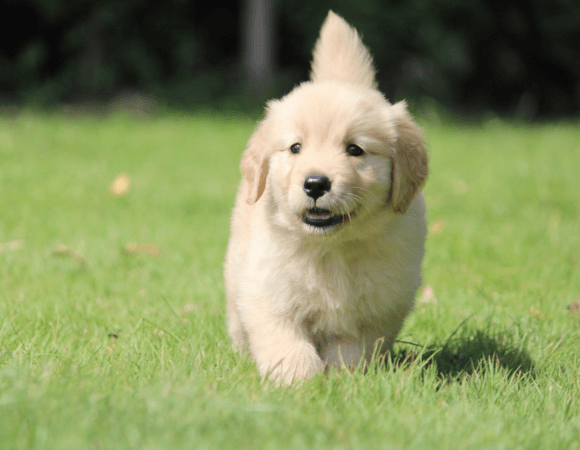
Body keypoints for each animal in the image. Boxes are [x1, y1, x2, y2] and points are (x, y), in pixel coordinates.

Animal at [224, 10, 428, 384]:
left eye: (354, 149)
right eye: (295, 148)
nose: (316, 183)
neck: (329, 248)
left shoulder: (375, 310)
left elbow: (351, 351)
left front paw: (340, 382)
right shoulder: (268, 291)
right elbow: (285, 342)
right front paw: (299, 382)